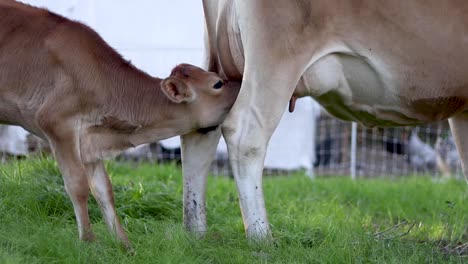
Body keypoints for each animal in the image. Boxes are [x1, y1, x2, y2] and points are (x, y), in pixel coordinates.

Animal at [0, 0, 239, 249]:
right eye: (218, 83)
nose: (241, 81)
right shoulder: (57, 123)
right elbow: (77, 184)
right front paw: (89, 241)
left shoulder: (90, 140)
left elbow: (104, 190)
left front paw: (125, 246)